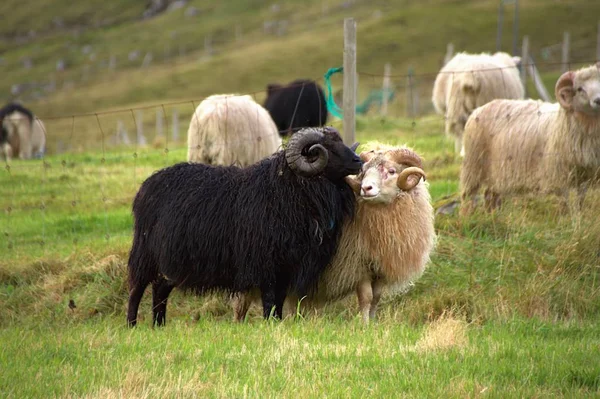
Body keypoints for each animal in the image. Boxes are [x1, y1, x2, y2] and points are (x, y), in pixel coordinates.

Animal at [126, 126, 360, 326]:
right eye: (328, 147)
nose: (358, 162)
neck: (289, 190)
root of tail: (147, 185)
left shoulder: (287, 267)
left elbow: (279, 301)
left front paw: (278, 323)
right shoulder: (266, 265)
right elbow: (269, 301)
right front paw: (270, 324)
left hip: (173, 261)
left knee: (160, 288)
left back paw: (159, 325)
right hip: (145, 253)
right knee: (137, 289)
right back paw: (132, 325)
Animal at [233, 145, 436, 324]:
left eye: (392, 171)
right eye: (364, 172)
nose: (366, 188)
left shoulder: (378, 270)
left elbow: (376, 298)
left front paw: (373, 323)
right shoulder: (357, 265)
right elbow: (366, 298)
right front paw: (365, 326)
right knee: (241, 303)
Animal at [460, 63, 600, 212]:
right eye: (580, 89)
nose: (598, 100)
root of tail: (478, 110)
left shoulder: (585, 175)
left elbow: (580, 200)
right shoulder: (558, 176)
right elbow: (564, 202)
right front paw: (566, 215)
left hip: (495, 173)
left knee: (490, 196)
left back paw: (492, 215)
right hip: (473, 165)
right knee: (468, 196)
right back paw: (467, 215)